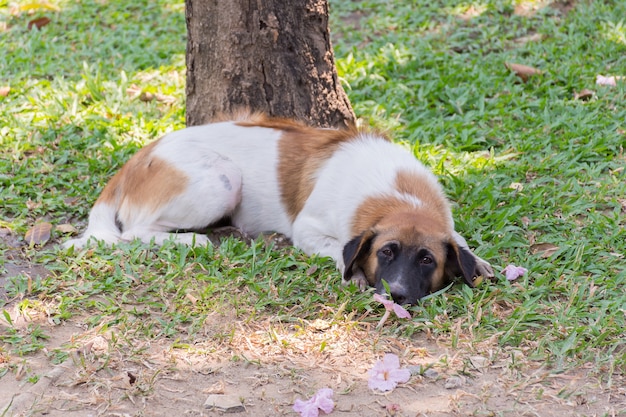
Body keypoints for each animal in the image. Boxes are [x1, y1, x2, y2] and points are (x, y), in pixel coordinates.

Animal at [64, 112, 492, 304]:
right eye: (386, 252)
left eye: (427, 260)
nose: (396, 295)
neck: (398, 192)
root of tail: (138, 157)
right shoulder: (309, 229)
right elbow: (337, 250)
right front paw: (352, 272)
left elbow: (458, 238)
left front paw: (477, 260)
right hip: (223, 180)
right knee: (137, 231)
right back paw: (196, 241)